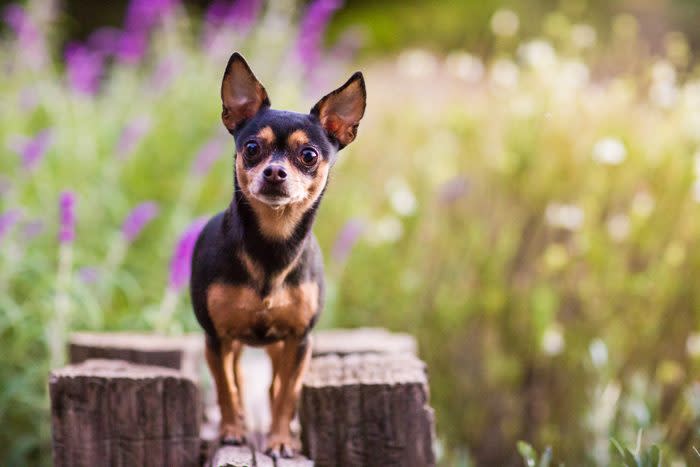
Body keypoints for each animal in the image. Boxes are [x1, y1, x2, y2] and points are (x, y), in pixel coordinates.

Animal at [190, 53, 366, 458]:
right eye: (252, 148)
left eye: (309, 155)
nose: (274, 171)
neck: (273, 245)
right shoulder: (215, 337)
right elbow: (226, 389)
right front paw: (231, 431)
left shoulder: (299, 340)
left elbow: (287, 394)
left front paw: (281, 439)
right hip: (233, 343)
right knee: (237, 379)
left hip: (278, 346)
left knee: (274, 386)